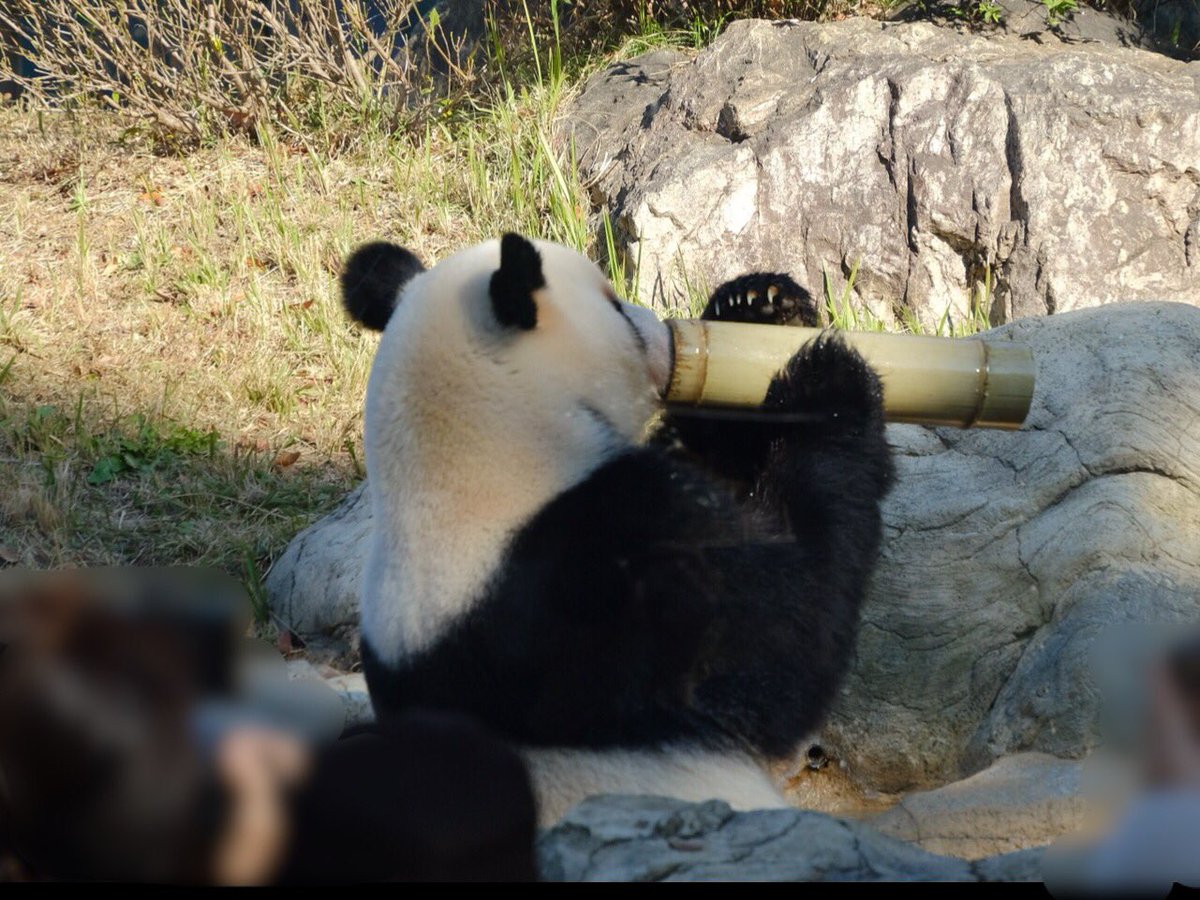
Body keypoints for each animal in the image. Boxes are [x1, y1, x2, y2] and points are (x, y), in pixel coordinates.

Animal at [340, 232, 894, 824]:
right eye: (615, 308)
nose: (663, 333)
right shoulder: (601, 575)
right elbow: (784, 642)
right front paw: (828, 385)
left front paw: (760, 307)